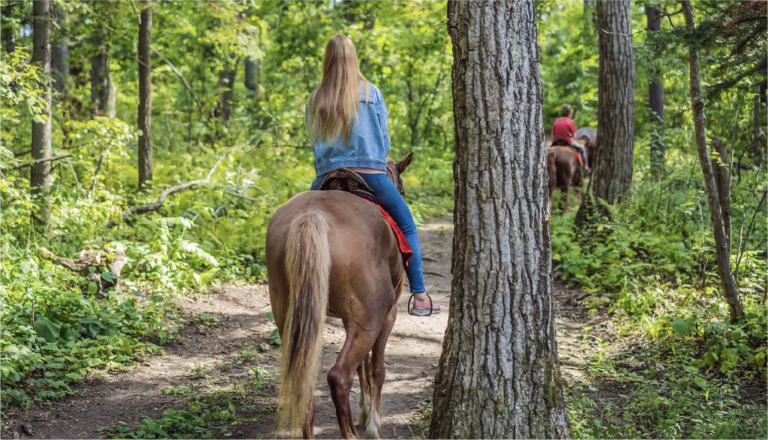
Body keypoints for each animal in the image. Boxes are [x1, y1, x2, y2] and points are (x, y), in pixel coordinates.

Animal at [265, 154, 413, 440]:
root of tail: (312, 216)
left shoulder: (352, 320)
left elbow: (363, 365)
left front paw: (365, 412)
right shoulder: (386, 316)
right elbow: (376, 368)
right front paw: (372, 424)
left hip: (288, 315)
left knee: (304, 383)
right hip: (369, 322)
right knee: (339, 376)